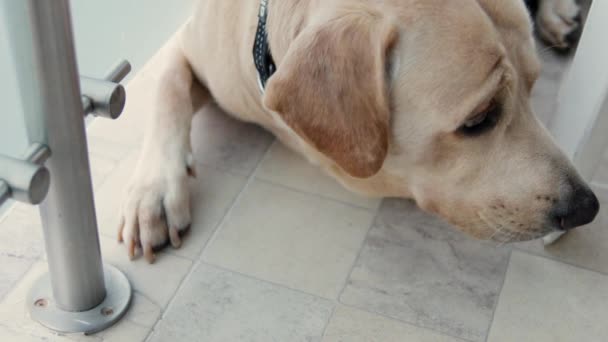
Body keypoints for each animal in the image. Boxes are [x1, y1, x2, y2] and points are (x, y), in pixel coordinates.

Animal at [117, 0, 600, 264]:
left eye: (534, 87)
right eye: (479, 119)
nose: (588, 208)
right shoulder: (187, 46)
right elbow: (168, 89)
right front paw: (154, 193)